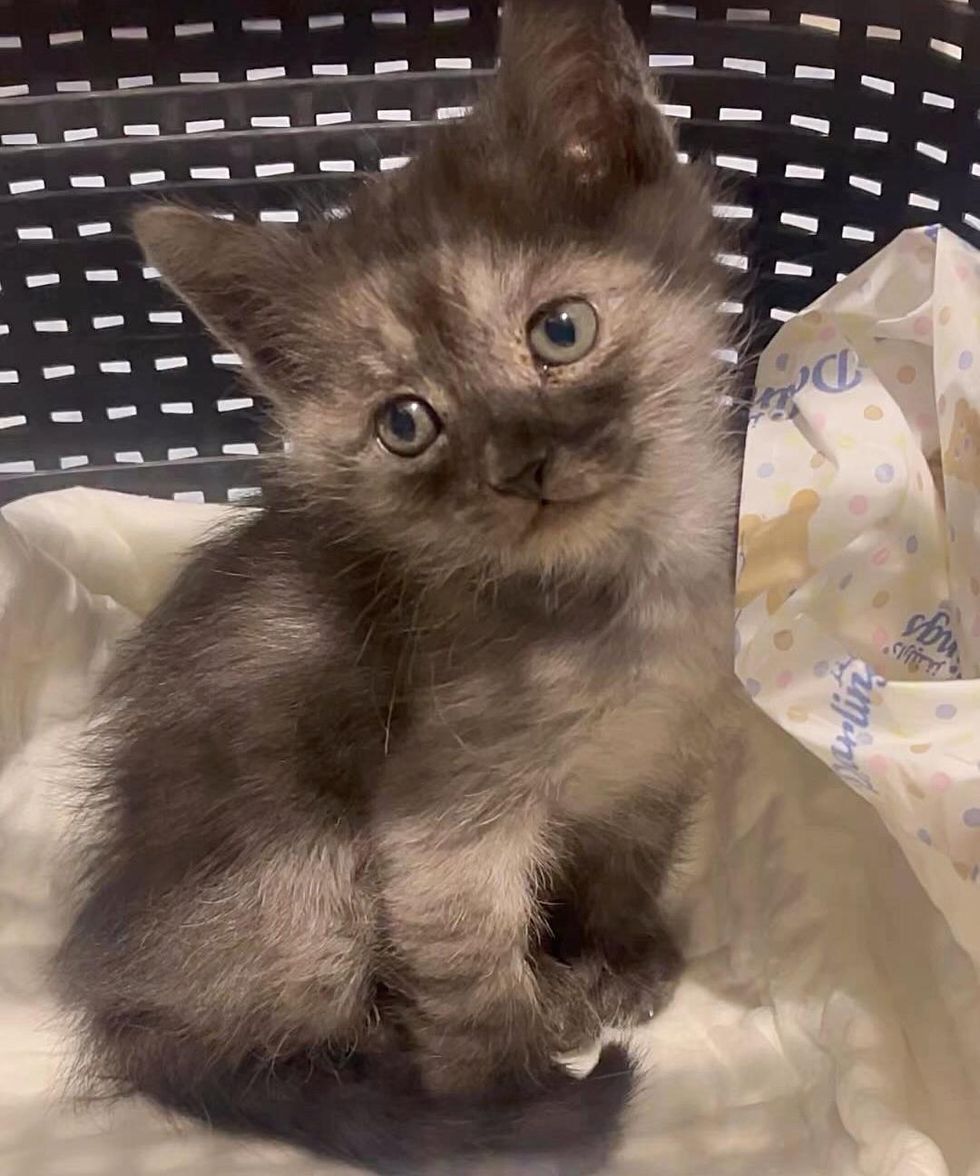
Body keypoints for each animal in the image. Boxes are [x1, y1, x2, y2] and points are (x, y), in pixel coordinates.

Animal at [53, 0, 743, 1171]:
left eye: (560, 329)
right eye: (405, 424)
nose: (519, 463)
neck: (611, 601)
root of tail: (118, 987)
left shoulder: (664, 750)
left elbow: (630, 859)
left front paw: (626, 955)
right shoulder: (440, 822)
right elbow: (467, 975)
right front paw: (511, 1108)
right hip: (302, 867)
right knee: (275, 1039)